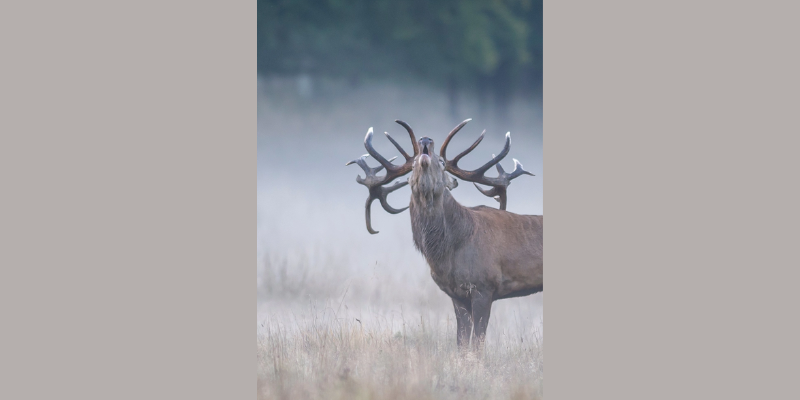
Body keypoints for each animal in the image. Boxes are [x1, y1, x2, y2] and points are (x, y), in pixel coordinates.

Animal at [346, 119, 544, 350]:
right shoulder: (457, 295)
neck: (449, 250)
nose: (425, 140)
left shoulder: (485, 286)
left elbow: (477, 344)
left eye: (441, 162)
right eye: (412, 164)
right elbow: (461, 343)